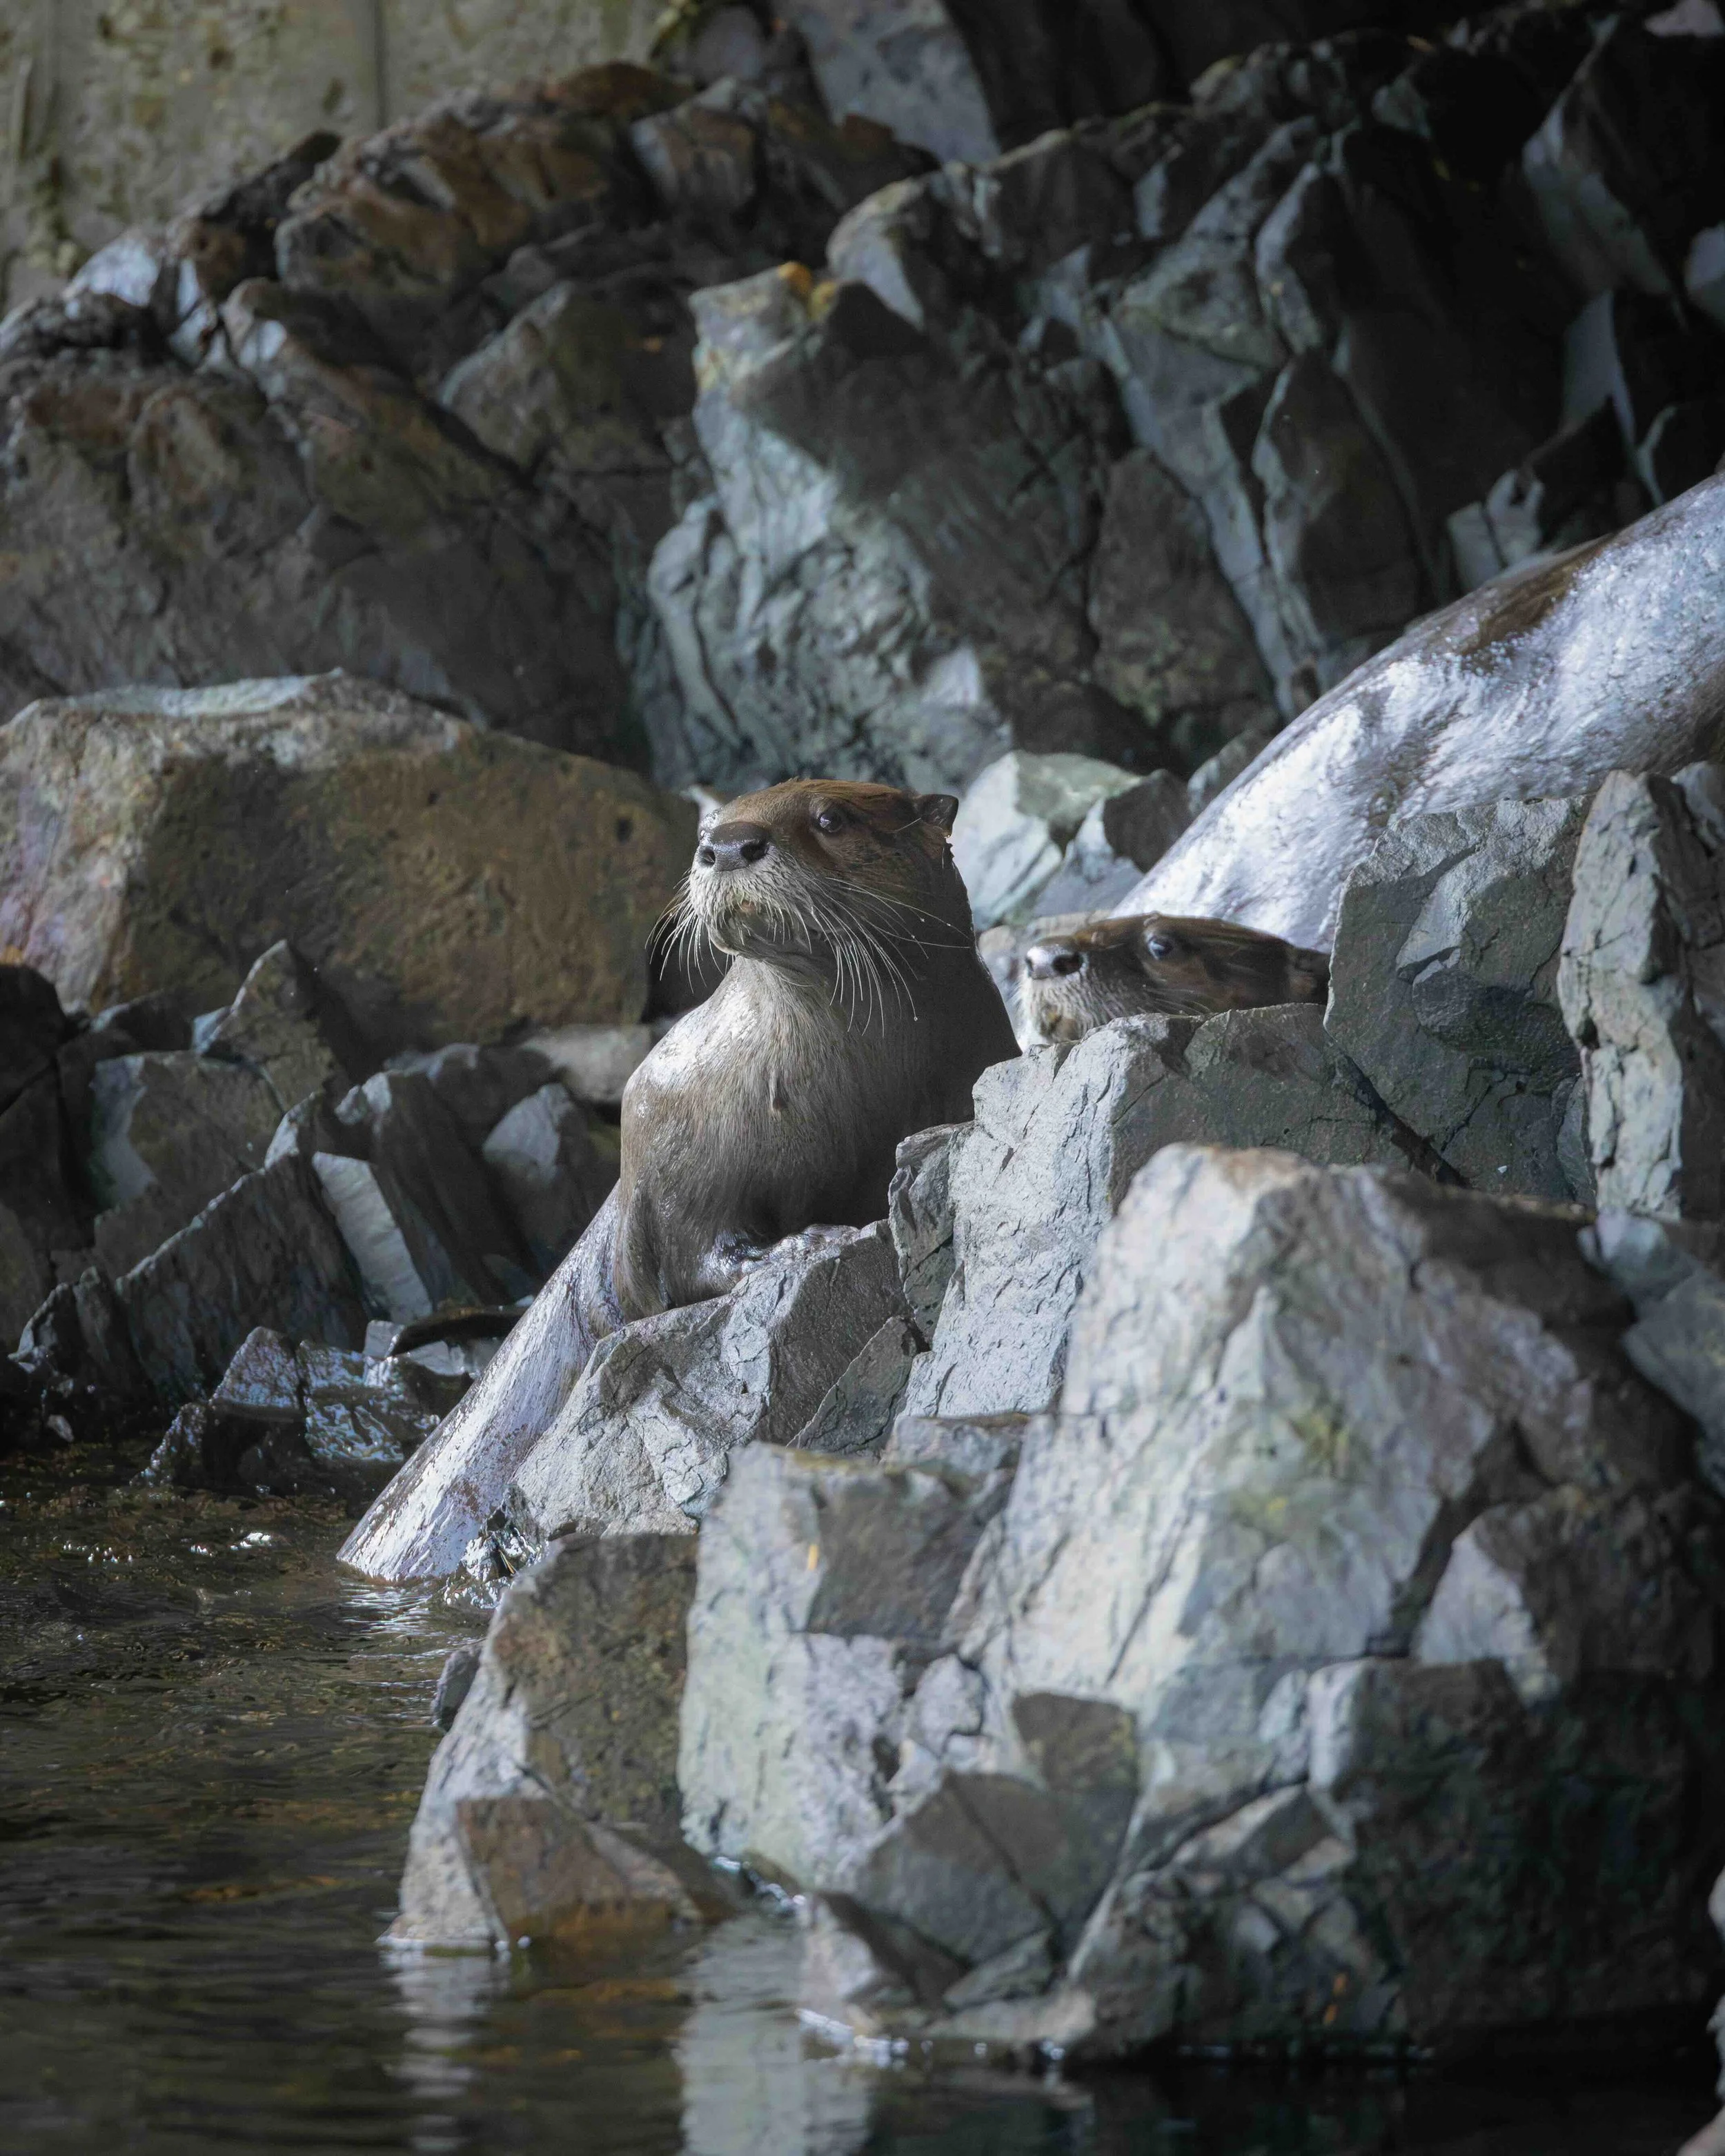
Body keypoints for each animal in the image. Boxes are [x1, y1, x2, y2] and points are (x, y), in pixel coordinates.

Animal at [340, 778, 1019, 1579]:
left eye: (831, 818)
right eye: (708, 825)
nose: (726, 845)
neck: (850, 1094)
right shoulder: (663, 1130)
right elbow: (691, 1257)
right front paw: (805, 1245)